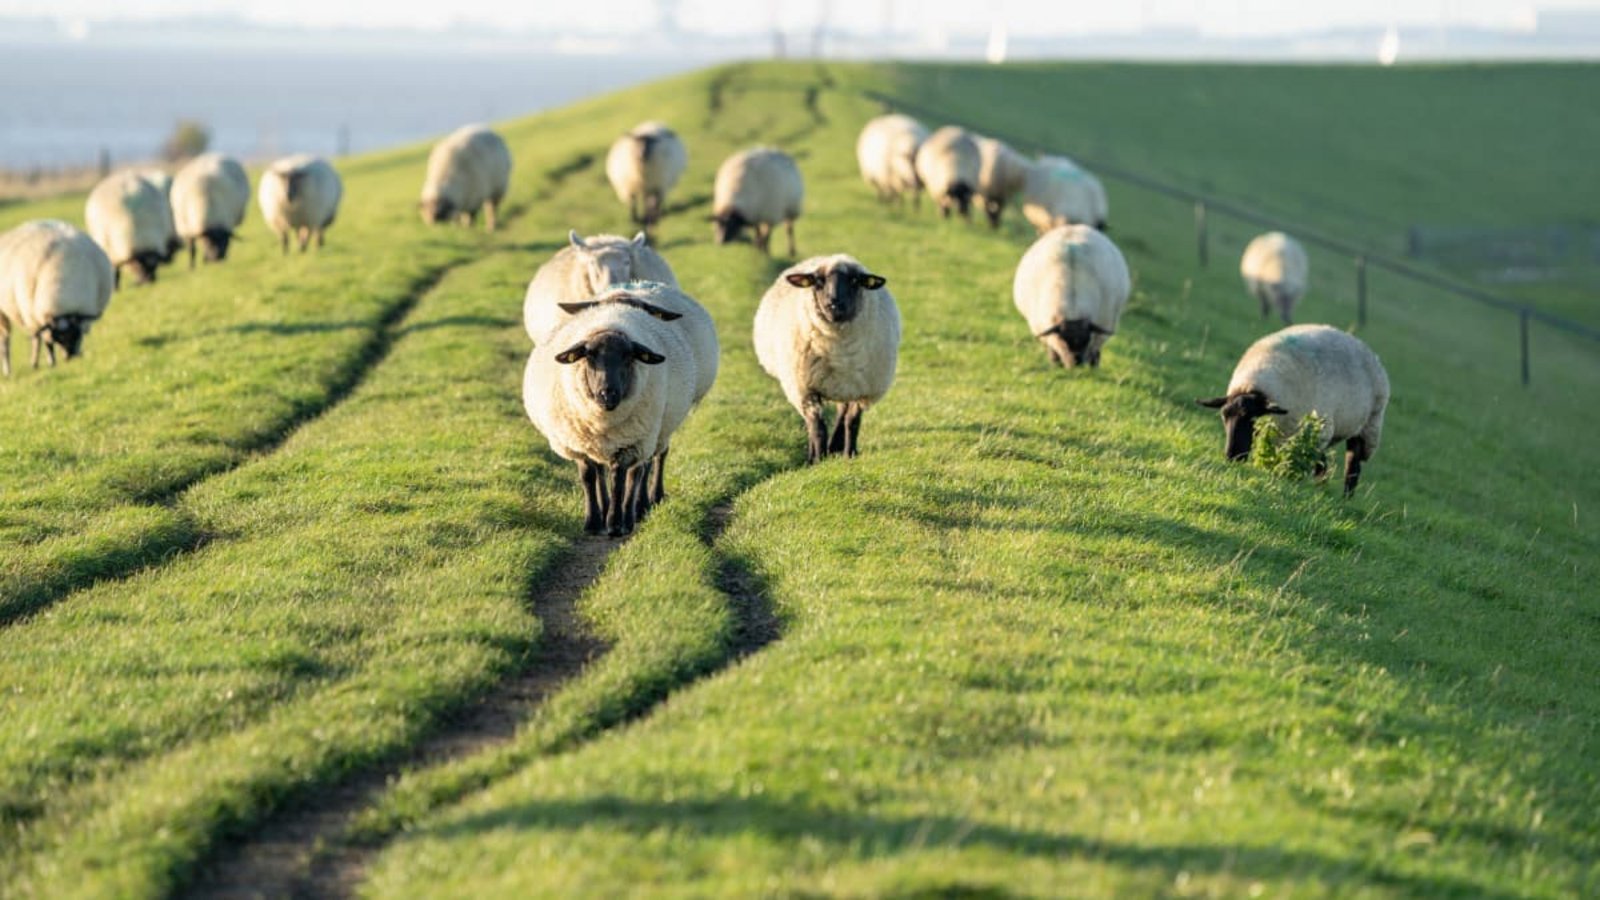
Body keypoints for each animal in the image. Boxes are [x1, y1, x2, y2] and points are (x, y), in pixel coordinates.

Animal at [0, 220, 115, 376]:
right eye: (58, 338)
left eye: (75, 335)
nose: (69, 357)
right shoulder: (40, 319)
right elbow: (47, 344)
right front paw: (51, 362)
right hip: (8, 313)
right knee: (9, 339)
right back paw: (12, 369)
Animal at [523, 300, 698, 536]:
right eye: (589, 356)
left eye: (628, 357)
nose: (608, 394)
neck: (604, 421)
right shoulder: (581, 445)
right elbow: (589, 478)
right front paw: (593, 522)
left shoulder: (631, 444)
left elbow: (620, 480)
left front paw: (615, 524)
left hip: (651, 435)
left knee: (642, 469)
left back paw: (635, 512)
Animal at [753, 254, 900, 463]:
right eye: (818, 282)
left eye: (855, 281)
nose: (835, 305)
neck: (839, 349)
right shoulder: (805, 389)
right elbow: (817, 427)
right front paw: (817, 460)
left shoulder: (863, 391)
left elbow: (852, 422)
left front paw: (849, 454)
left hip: (846, 385)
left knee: (841, 414)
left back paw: (836, 447)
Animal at [1013, 224, 1131, 369]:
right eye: (1063, 339)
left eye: (1086, 339)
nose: (1076, 363)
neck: (1073, 305)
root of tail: (1075, 226)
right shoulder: (1047, 332)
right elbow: (1053, 352)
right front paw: (1055, 366)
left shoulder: (1100, 331)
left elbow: (1094, 352)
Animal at [1196, 324, 1389, 496]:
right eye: (1224, 416)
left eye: (1253, 418)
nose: (1232, 456)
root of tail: (1368, 351)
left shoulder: (1318, 430)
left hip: (1369, 426)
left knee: (1352, 466)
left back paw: (1345, 498)